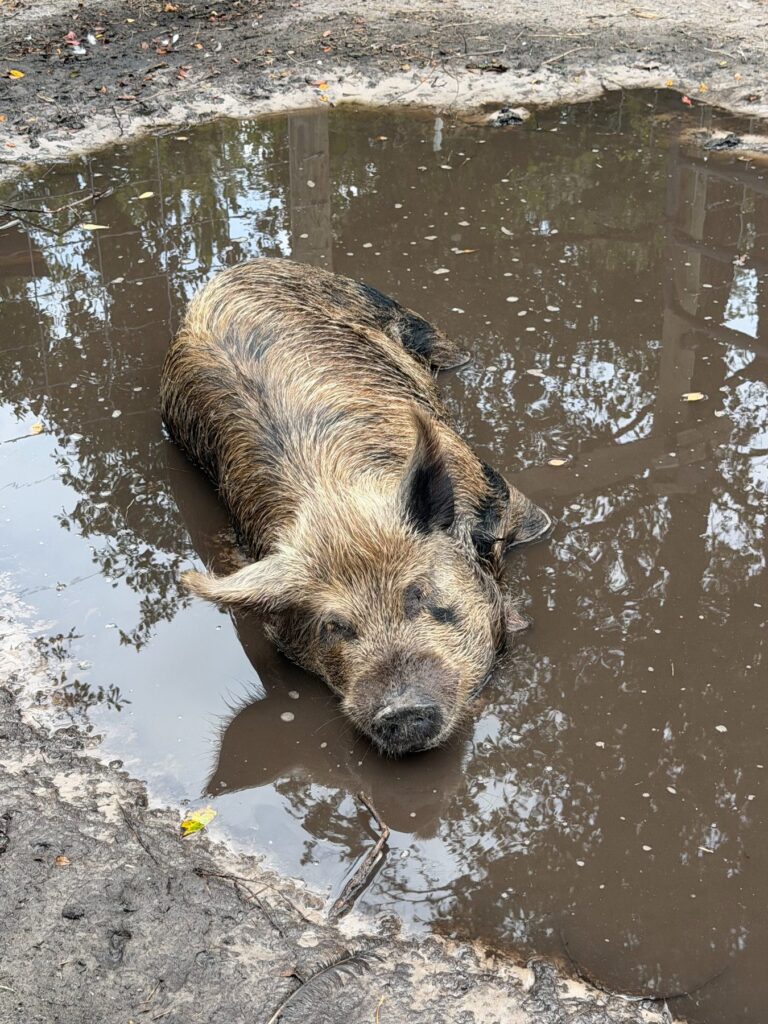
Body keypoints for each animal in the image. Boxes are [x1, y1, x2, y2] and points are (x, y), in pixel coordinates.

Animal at [160, 257, 550, 756]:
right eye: (334, 625)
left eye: (417, 593)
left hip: (394, 311)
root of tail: (238, 267)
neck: (339, 503)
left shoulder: (507, 499)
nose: (402, 708)